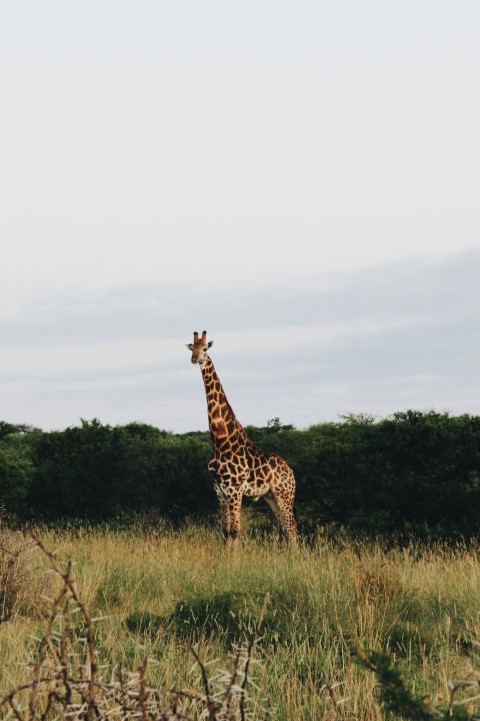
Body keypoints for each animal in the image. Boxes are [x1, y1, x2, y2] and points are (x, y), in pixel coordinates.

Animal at [186, 330, 297, 549]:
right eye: (192, 347)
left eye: (205, 348)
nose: (195, 359)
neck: (220, 442)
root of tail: (291, 473)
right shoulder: (219, 490)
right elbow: (225, 531)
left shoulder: (235, 490)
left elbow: (235, 531)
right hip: (270, 497)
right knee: (283, 527)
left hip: (285, 494)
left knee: (292, 527)